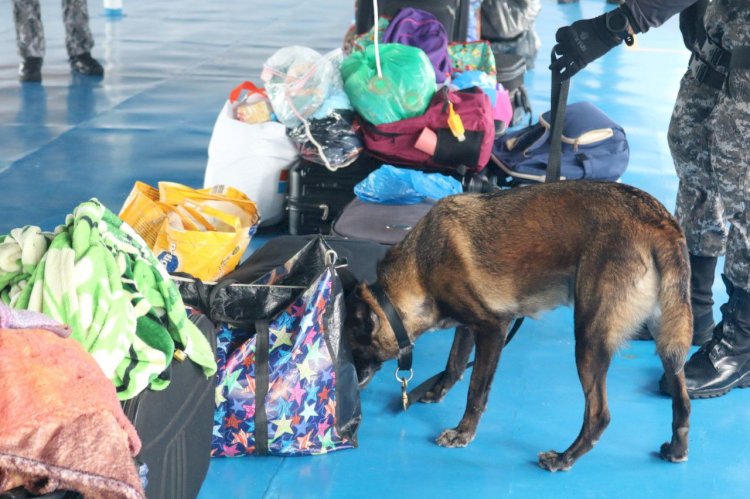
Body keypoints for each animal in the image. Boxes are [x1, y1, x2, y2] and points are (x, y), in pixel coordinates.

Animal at [346, 181, 692, 472]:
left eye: (351, 349)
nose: (351, 382)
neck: (419, 267)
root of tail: (659, 221)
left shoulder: (492, 329)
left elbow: (476, 391)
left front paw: (462, 433)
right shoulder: (469, 326)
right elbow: (455, 365)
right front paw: (435, 390)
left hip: (589, 339)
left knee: (599, 415)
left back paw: (564, 457)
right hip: (666, 340)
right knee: (682, 401)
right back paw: (677, 449)